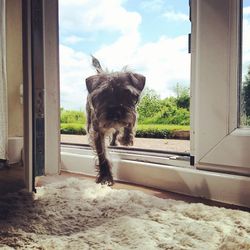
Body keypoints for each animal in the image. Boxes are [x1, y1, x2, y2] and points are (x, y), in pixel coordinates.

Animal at [85, 57, 146, 186]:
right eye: (103, 94)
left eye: (127, 93)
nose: (115, 112)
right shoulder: (97, 131)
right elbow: (102, 154)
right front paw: (105, 176)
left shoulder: (132, 114)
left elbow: (129, 125)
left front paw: (126, 139)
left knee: (117, 131)